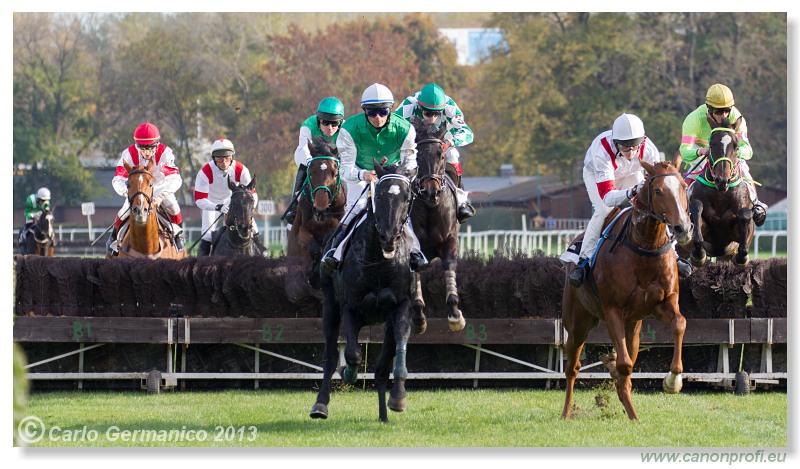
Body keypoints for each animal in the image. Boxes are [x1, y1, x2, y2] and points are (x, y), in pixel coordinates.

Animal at [310, 159, 416, 422]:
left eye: (407, 196)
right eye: (378, 194)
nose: (389, 238)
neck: (378, 262)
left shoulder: (401, 305)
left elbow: (399, 344)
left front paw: (398, 398)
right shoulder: (350, 307)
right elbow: (352, 354)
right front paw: (347, 372)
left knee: (381, 369)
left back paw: (383, 415)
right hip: (330, 306)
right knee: (330, 356)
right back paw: (320, 404)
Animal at [410, 119, 466, 334]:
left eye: (441, 155)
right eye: (417, 156)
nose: (431, 192)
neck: (429, 207)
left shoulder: (449, 240)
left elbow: (449, 266)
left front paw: (455, 316)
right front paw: (418, 318)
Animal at [564, 155, 692, 418]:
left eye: (684, 187)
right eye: (658, 190)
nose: (682, 228)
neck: (644, 246)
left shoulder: (664, 302)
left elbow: (679, 324)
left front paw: (673, 381)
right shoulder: (613, 309)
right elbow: (624, 364)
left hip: (633, 324)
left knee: (628, 359)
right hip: (578, 321)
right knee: (573, 367)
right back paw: (566, 413)